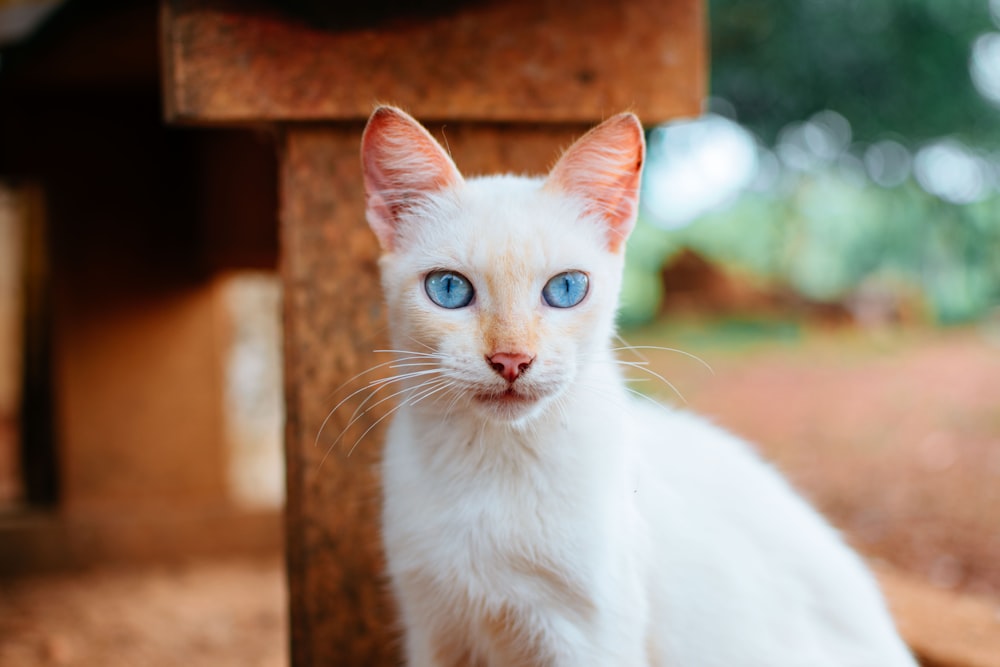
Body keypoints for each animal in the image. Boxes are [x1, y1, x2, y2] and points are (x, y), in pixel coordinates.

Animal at [360, 107, 916, 664]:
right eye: (449, 288)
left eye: (566, 288)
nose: (511, 359)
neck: (490, 468)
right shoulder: (433, 627)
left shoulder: (589, 638)